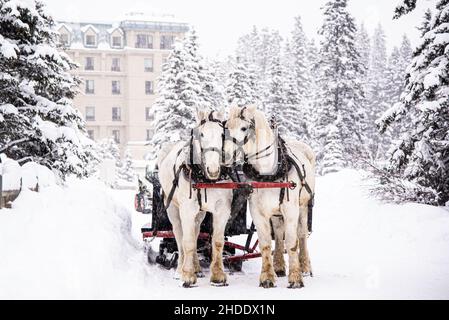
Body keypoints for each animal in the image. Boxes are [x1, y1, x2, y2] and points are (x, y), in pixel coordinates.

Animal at [157, 110, 233, 288]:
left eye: (222, 134)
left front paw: (218, 276)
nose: (213, 169)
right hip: (173, 209)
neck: (206, 178)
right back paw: (180, 270)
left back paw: (197, 268)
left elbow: (217, 241)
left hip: (200, 213)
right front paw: (187, 276)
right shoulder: (187, 209)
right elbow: (188, 241)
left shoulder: (222, 209)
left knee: (197, 232)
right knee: (180, 236)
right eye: (202, 134)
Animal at [224, 104, 316, 288]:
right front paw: (267, 277)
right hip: (275, 212)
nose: (225, 154)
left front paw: (295, 278)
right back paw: (279, 267)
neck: (268, 174)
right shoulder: (258, 213)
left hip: (303, 207)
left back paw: (304, 267)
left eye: (244, 128)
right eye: (227, 126)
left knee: (302, 234)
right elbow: (266, 244)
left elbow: (292, 242)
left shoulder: (291, 210)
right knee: (279, 234)